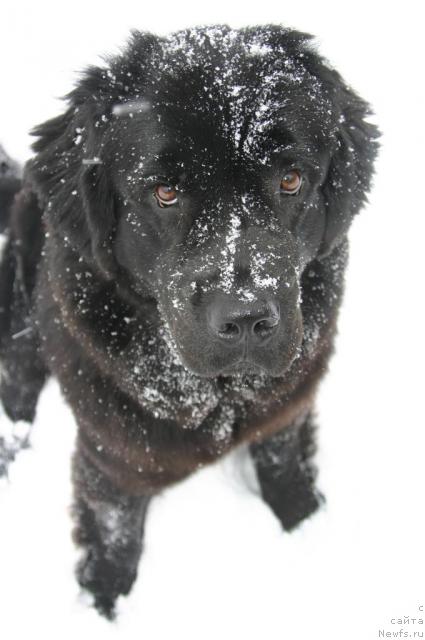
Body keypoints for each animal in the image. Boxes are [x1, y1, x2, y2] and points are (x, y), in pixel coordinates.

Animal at [0, 23, 378, 616]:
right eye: (166, 192)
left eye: (291, 180)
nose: (245, 318)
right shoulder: (110, 454)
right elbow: (115, 528)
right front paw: (104, 600)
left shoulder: (287, 406)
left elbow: (283, 460)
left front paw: (302, 517)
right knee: (17, 378)